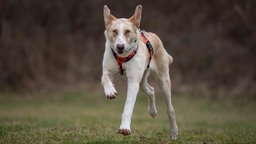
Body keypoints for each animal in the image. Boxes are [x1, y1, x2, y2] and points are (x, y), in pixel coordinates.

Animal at [101, 4, 178, 140]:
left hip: (162, 80)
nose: (120, 46)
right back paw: (152, 110)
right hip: (142, 81)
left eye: (127, 31)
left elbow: (128, 107)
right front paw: (110, 91)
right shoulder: (108, 70)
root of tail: (154, 36)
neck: (122, 57)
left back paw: (174, 132)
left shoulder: (133, 83)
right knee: (151, 90)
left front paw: (125, 128)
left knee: (170, 109)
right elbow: (104, 78)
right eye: (114, 31)